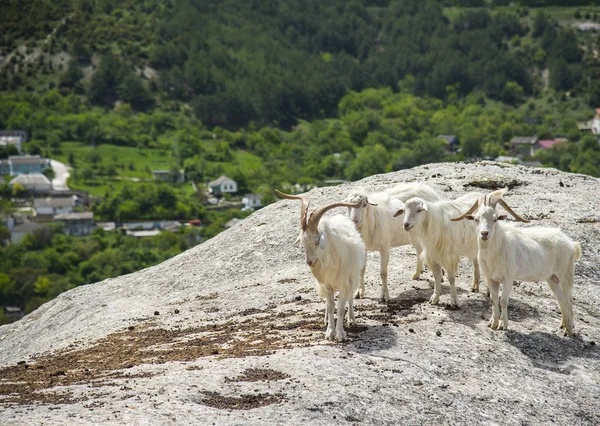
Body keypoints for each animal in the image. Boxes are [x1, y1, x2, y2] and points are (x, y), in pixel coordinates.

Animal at [276, 190, 366, 342]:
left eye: (317, 242)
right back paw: (326, 319)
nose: (310, 262)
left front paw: (340, 334)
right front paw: (330, 333)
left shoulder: (344, 283)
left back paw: (351, 319)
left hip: (353, 276)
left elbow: (340, 307)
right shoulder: (327, 285)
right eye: (302, 243)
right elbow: (330, 307)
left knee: (349, 299)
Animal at [454, 187, 580, 336]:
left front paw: (503, 325)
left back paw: (569, 330)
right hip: (552, 278)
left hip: (566, 274)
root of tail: (571, 244)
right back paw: (564, 325)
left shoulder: (508, 278)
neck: (499, 248)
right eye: (476, 219)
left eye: (495, 219)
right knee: (562, 299)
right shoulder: (491, 279)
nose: (484, 234)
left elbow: (503, 300)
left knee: (568, 300)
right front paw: (492, 323)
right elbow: (493, 300)